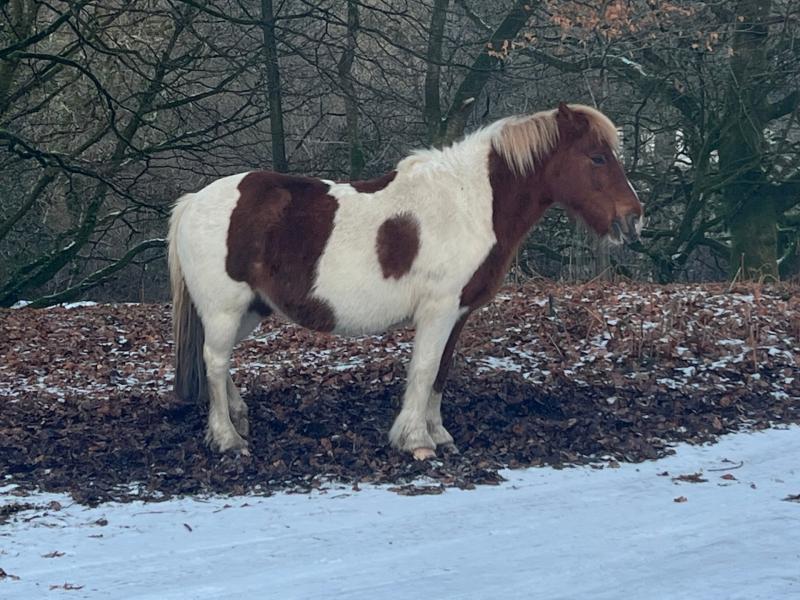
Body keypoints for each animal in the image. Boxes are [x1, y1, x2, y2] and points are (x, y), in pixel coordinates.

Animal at [167, 103, 643, 460]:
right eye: (597, 157)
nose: (633, 218)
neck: (469, 205)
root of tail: (194, 201)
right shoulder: (438, 310)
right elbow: (424, 368)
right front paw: (416, 441)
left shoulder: (458, 314)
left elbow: (441, 372)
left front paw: (440, 435)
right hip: (225, 309)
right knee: (214, 362)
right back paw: (228, 439)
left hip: (249, 310)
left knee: (218, 361)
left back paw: (238, 418)